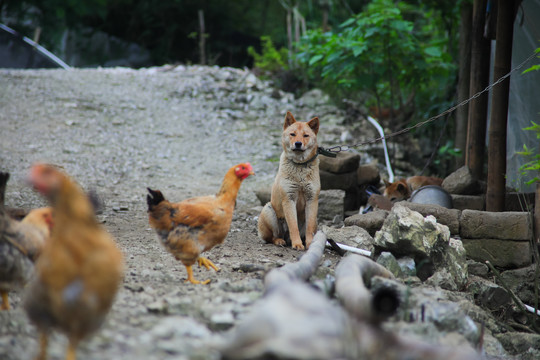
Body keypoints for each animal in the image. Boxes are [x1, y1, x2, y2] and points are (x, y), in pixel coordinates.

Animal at [258, 112, 320, 250]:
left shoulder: (312, 199)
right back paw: (280, 241)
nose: (298, 143)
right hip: (269, 210)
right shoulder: (289, 198)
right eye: (292, 134)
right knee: (272, 237)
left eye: (305, 135)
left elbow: (309, 228)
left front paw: (309, 244)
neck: (300, 166)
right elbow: (293, 226)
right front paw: (297, 244)